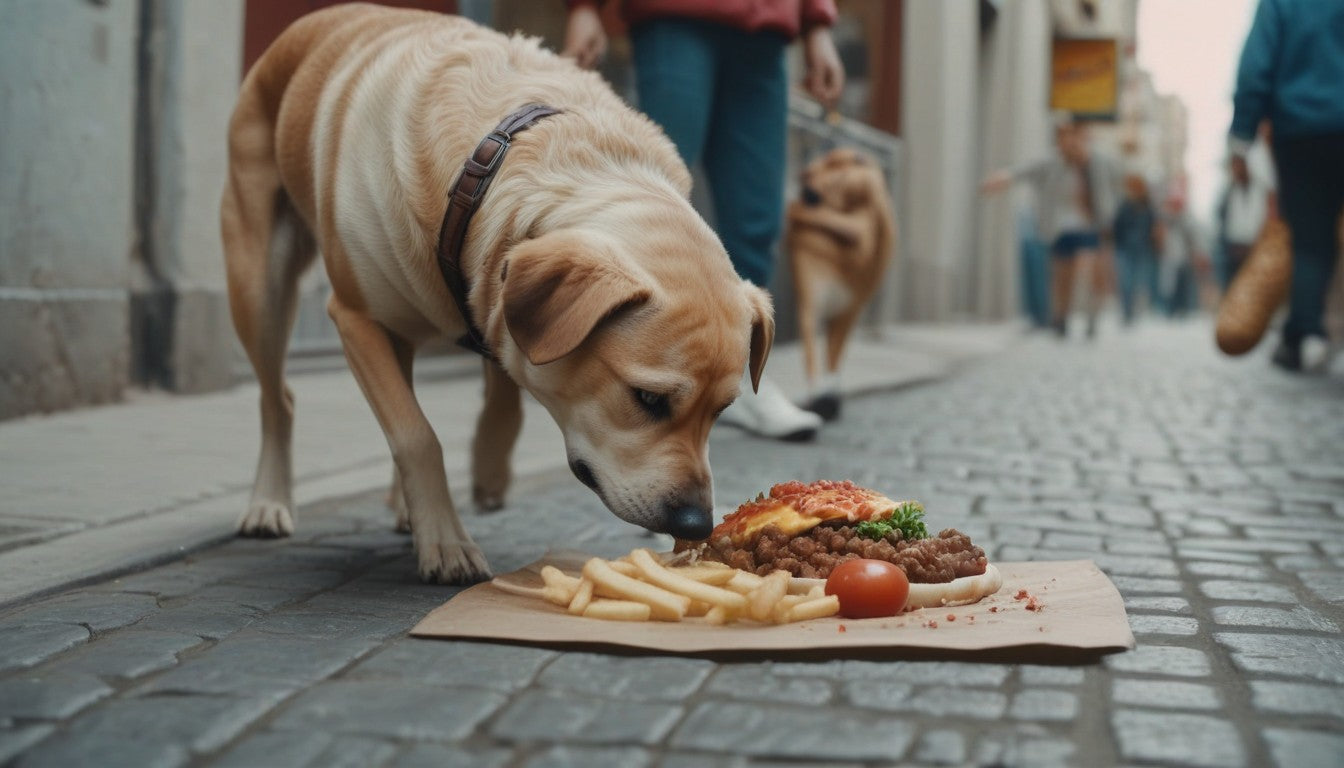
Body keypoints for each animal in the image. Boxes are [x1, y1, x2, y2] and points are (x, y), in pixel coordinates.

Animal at [224, 4, 774, 583]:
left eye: (723, 409)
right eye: (648, 399)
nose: (696, 523)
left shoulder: (497, 298)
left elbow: (503, 380)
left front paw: (485, 464)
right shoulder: (355, 318)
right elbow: (416, 434)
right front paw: (446, 541)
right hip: (258, 287)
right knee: (280, 398)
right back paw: (269, 503)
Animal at [784, 145, 897, 419]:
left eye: (834, 165)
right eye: (827, 161)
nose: (804, 174)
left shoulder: (847, 313)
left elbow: (833, 357)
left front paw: (828, 395)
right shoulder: (812, 305)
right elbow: (813, 354)